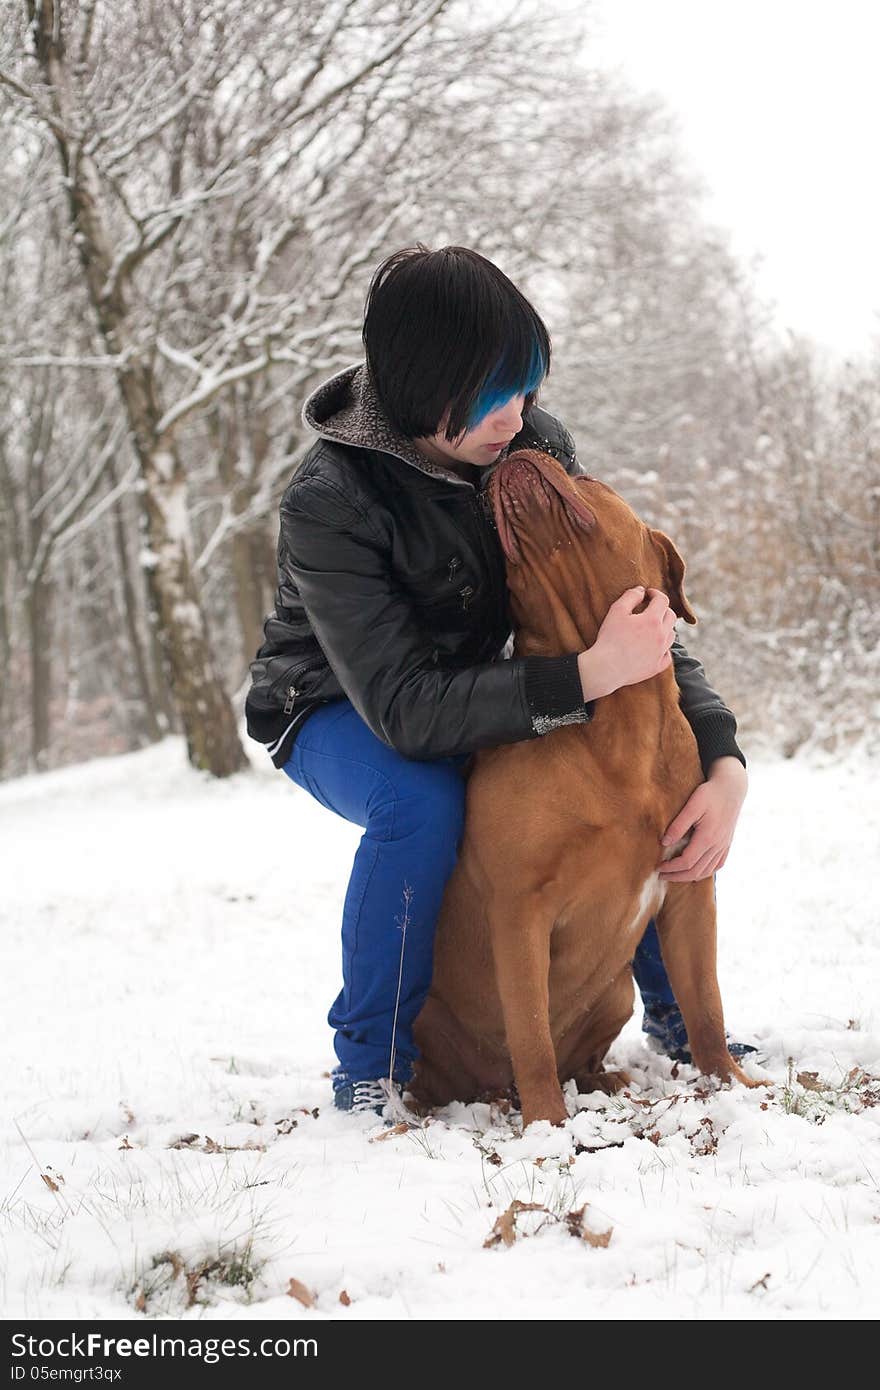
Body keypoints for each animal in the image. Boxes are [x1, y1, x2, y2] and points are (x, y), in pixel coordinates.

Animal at [408, 450, 756, 1123]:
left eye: (586, 476)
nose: (516, 451)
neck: (616, 719)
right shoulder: (519, 907)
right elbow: (529, 1032)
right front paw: (547, 1126)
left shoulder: (689, 891)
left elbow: (705, 1003)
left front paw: (732, 1086)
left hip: (615, 992)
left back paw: (605, 1081)